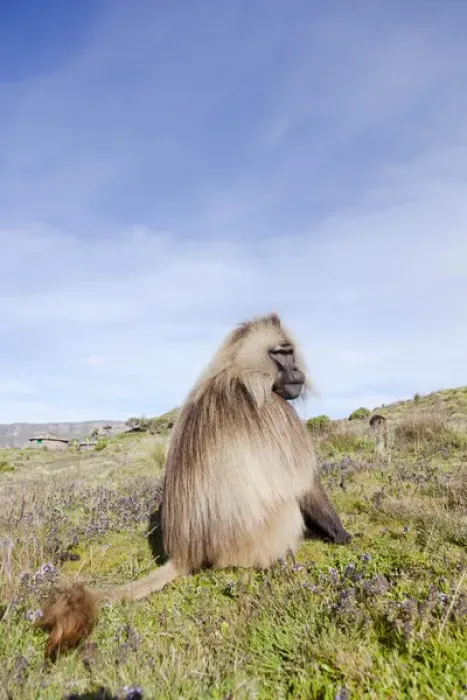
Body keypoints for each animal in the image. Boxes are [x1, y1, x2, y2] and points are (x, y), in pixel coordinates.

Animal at [35, 312, 350, 658]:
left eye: (290, 352)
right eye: (280, 354)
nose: (297, 373)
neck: (241, 372)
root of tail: (186, 554)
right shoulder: (278, 411)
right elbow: (305, 484)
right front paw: (342, 535)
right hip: (262, 535)